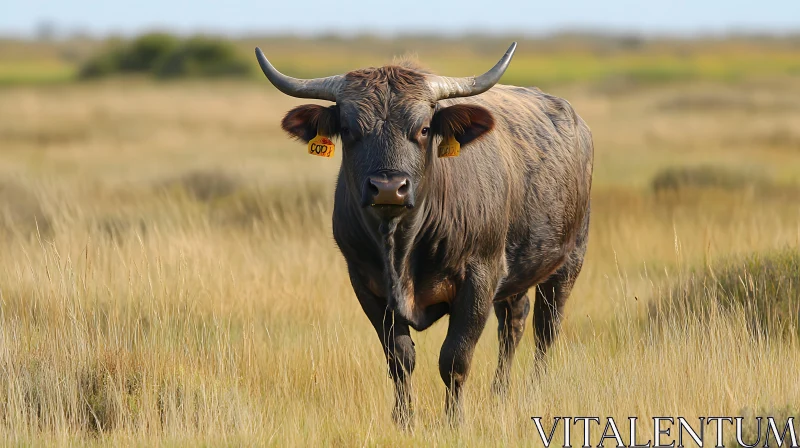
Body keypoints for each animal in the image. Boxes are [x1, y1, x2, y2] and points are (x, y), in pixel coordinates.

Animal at [256, 43, 592, 426]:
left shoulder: (480, 277)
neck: (402, 245)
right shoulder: (366, 284)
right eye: (349, 128)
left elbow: (455, 358)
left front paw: (454, 420)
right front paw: (403, 418)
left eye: (424, 128)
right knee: (513, 323)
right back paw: (499, 394)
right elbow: (400, 359)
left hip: (567, 263)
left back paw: (533, 390)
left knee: (545, 329)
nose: (388, 188)